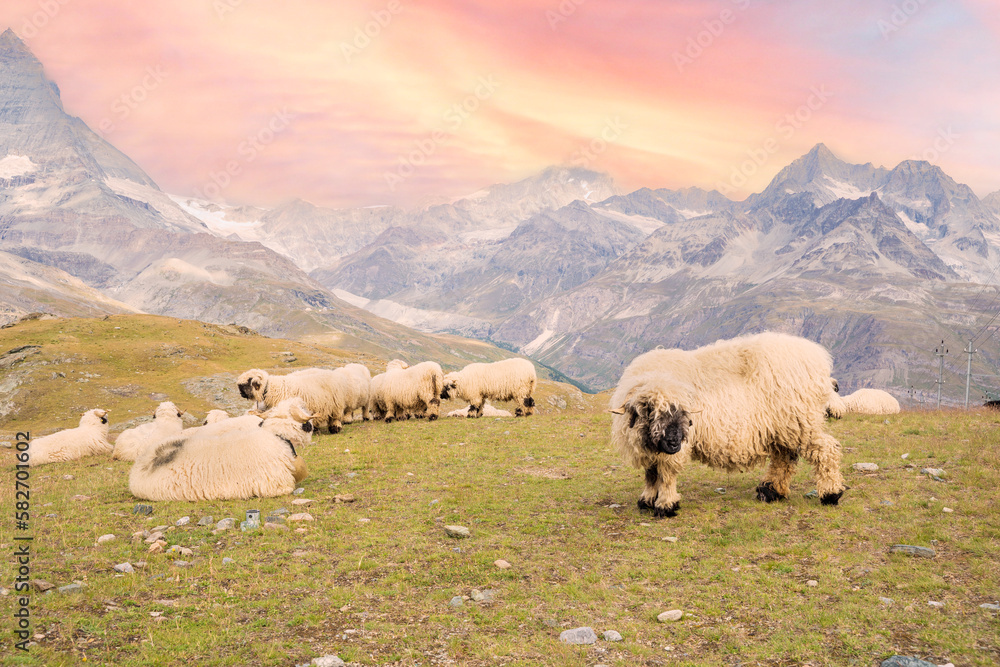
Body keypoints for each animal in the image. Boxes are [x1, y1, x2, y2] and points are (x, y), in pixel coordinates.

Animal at [610, 332, 846, 518]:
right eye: (649, 410)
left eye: (683, 410)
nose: (674, 441)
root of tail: (816, 357)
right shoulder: (652, 448)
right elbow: (651, 473)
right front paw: (647, 500)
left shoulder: (675, 448)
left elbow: (666, 474)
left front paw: (666, 505)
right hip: (782, 426)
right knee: (784, 457)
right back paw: (771, 491)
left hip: (799, 420)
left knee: (825, 449)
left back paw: (831, 493)